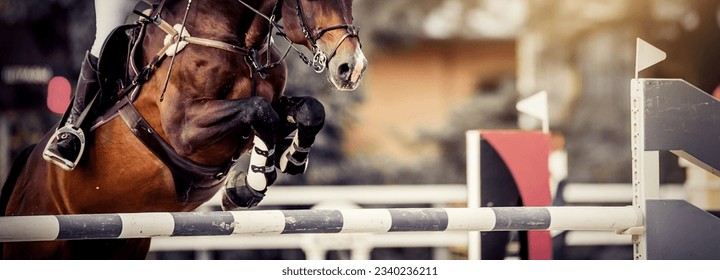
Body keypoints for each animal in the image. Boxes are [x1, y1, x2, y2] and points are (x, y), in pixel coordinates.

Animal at [1, 0, 366, 260]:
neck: (239, 42)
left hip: (120, 245)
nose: (352, 68)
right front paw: (249, 185)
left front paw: (290, 158)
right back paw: (64, 144)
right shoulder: (185, 129)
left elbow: (309, 111)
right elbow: (260, 112)